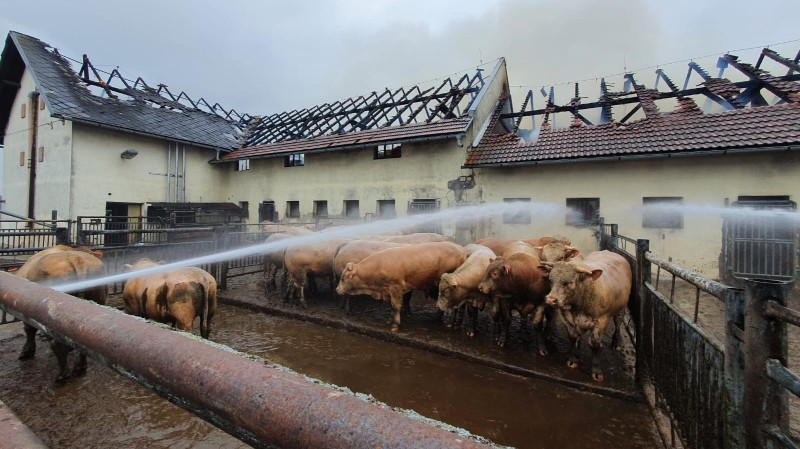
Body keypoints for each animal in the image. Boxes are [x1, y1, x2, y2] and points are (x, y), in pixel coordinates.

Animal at [14, 245, 106, 382]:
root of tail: (75, 257)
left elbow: (29, 329)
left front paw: (27, 352)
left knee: (57, 345)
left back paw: (62, 375)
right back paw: (80, 368)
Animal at [334, 242, 466, 328]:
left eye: (343, 278)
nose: (337, 289)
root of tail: (461, 249)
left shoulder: (396, 288)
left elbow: (396, 306)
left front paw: (395, 324)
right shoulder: (387, 291)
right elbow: (391, 306)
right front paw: (390, 320)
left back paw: (450, 322)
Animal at [544, 250, 632, 380]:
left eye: (569, 282)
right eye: (550, 279)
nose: (551, 300)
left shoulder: (601, 321)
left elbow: (595, 344)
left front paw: (597, 370)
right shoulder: (565, 318)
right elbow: (573, 337)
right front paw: (573, 358)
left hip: (621, 308)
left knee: (618, 324)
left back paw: (616, 342)